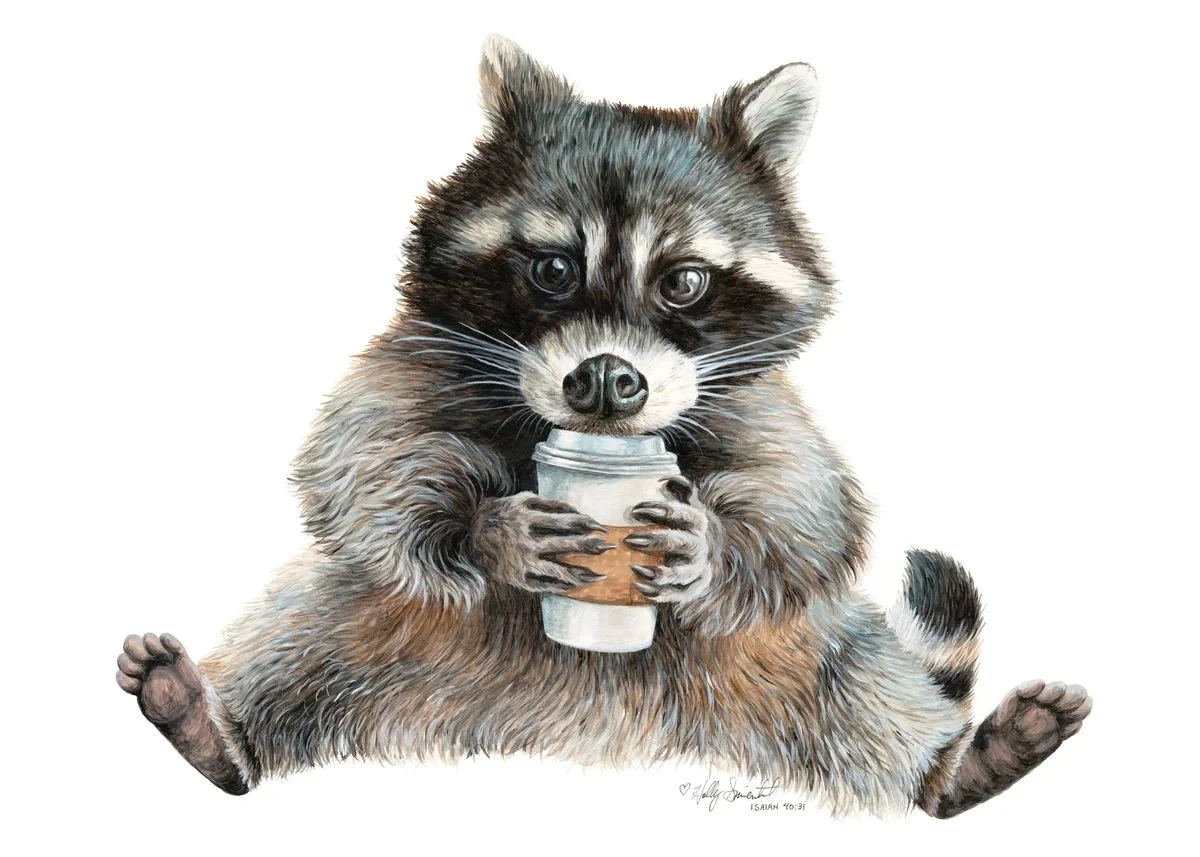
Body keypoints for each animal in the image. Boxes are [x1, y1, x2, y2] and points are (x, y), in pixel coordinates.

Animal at [114, 35, 1091, 817]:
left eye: (686, 281)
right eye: (552, 268)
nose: (609, 381)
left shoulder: (754, 396)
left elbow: (807, 502)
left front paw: (713, 544)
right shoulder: (413, 357)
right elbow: (364, 461)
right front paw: (484, 528)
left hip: (802, 658)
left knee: (854, 677)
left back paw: (953, 767)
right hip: (349, 633)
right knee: (304, 628)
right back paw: (213, 725)